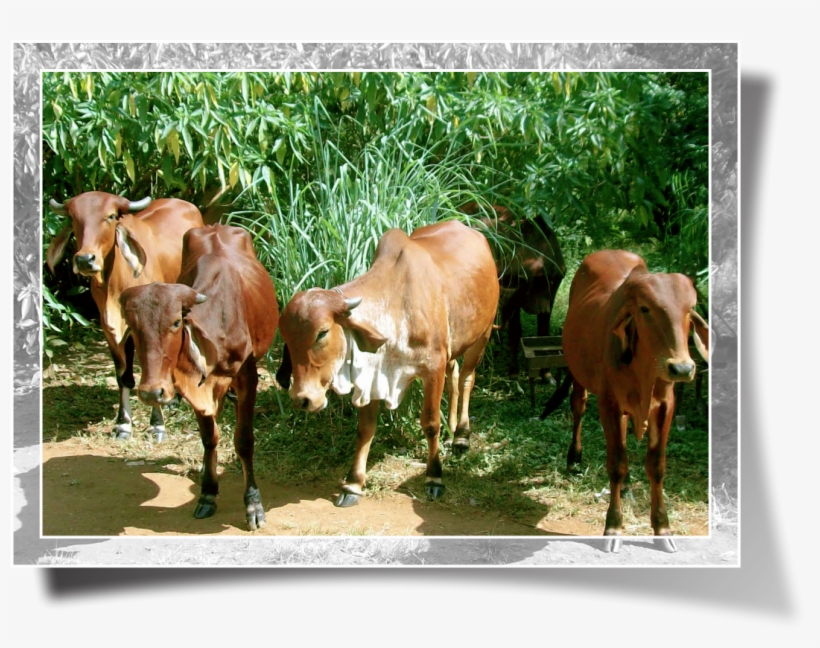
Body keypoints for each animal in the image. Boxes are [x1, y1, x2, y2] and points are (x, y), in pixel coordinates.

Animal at [46, 192, 204, 442]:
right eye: (73, 217)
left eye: (110, 216)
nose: (85, 259)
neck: (114, 285)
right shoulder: (111, 331)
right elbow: (124, 377)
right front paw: (123, 424)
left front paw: (157, 425)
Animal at [119, 224, 278, 530]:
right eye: (132, 326)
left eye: (175, 322)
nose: (152, 392)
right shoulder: (194, 390)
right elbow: (209, 438)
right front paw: (207, 492)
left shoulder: (248, 377)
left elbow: (244, 441)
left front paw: (253, 504)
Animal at [277, 220, 499, 507]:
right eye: (286, 337)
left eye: (322, 333)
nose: (302, 399)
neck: (396, 306)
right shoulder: (372, 375)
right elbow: (365, 429)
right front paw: (353, 484)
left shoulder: (433, 368)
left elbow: (430, 424)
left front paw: (434, 477)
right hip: (454, 347)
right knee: (455, 374)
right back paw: (453, 428)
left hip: (482, 334)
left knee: (467, 378)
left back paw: (461, 435)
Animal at [459, 202, 566, 377]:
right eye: (537, 278)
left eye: (554, 279)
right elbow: (515, 331)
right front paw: (513, 368)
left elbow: (543, 331)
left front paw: (546, 373)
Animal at [541, 250, 709, 553]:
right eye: (645, 309)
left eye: (689, 309)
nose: (681, 368)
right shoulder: (608, 403)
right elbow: (616, 464)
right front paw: (613, 526)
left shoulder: (665, 406)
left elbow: (656, 467)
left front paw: (662, 527)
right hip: (579, 376)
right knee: (578, 407)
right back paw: (574, 459)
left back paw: (630, 484)